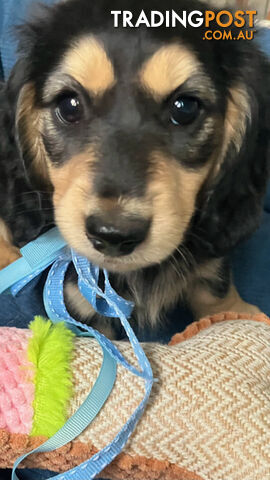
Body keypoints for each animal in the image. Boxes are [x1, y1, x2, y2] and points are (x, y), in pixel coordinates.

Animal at [0, 0, 270, 338]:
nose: (114, 236)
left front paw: (236, 312)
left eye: (185, 107)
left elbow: (214, 284)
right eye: (69, 105)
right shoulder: (79, 304)